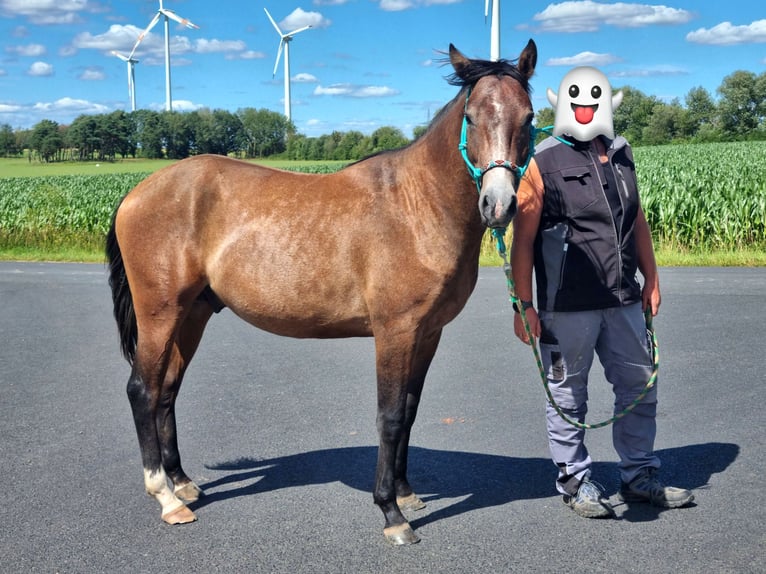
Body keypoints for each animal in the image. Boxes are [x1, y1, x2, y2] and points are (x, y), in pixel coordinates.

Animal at [106, 39, 540, 544]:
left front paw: (406, 491)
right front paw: (391, 512)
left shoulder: (428, 333)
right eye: (471, 116)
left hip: (191, 314)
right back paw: (166, 497)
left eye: (528, 116)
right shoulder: (395, 332)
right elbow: (390, 416)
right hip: (160, 313)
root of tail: (138, 191)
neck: (418, 205)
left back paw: (182, 482)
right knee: (142, 390)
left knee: (167, 389)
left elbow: (410, 410)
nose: (499, 204)